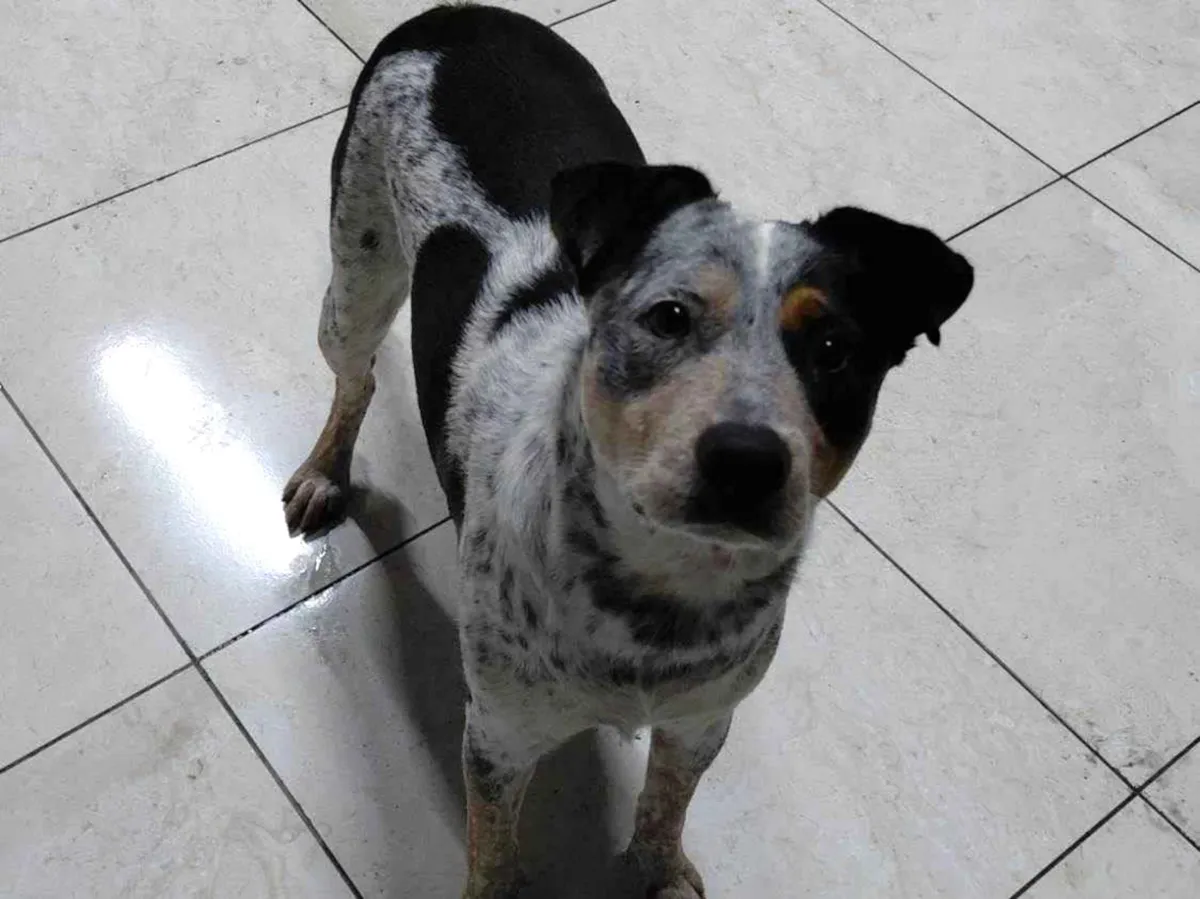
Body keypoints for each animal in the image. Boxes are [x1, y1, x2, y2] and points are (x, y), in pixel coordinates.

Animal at [282, 5, 974, 897]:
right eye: (667, 317)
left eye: (834, 349)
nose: (747, 459)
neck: (660, 598)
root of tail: (459, 14)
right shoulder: (498, 735)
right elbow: (493, 852)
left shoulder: (704, 717)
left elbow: (665, 803)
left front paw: (662, 870)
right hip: (355, 276)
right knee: (357, 378)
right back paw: (325, 471)